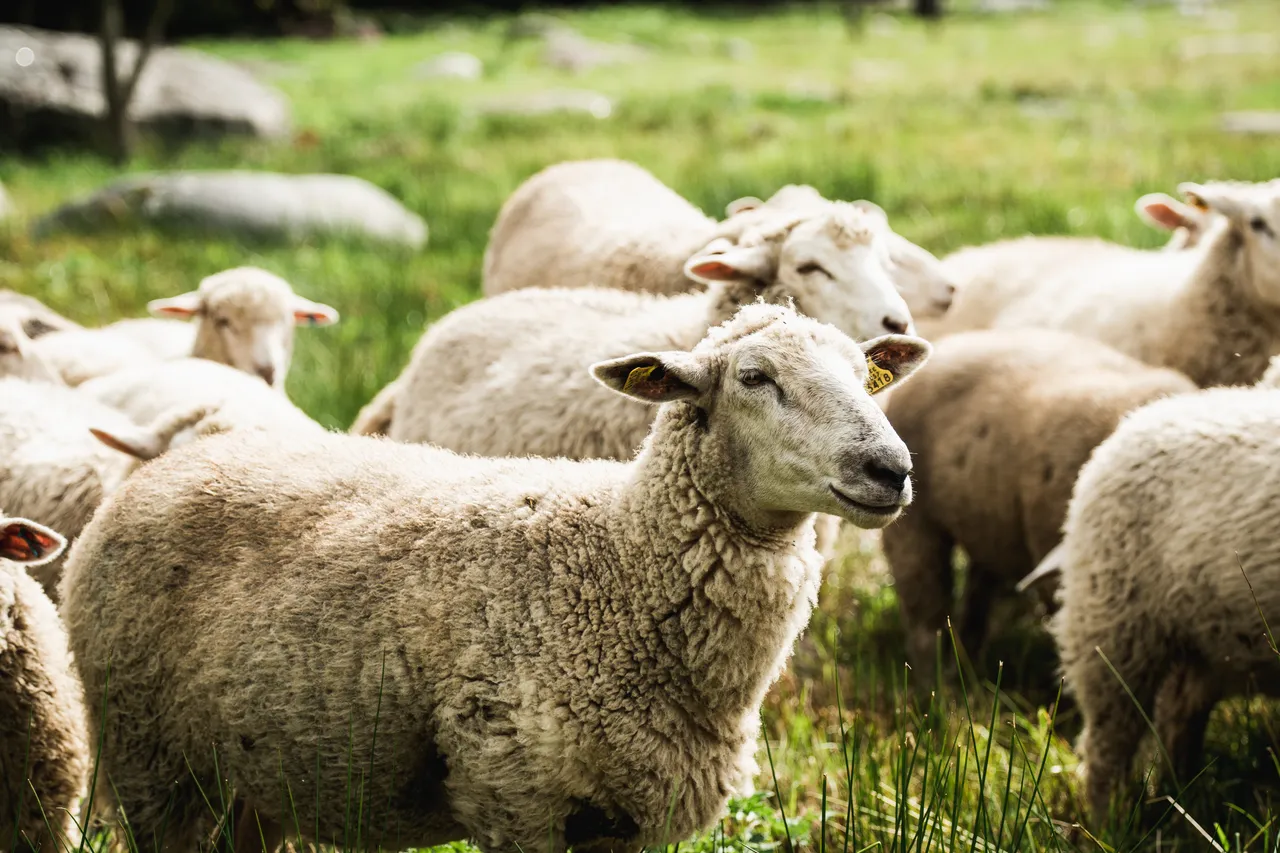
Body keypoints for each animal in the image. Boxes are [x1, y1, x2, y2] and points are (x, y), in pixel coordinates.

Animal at [60, 303, 930, 853]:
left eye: (865, 372)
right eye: (753, 377)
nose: (890, 469)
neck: (621, 567)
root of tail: (171, 462)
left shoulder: (622, 819)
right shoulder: (518, 797)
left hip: (252, 780)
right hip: (148, 762)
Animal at [880, 329, 1195, 685]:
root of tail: (955, 340)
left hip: (989, 518)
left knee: (978, 592)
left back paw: (970, 671)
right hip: (916, 525)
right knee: (925, 611)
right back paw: (933, 685)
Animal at [1049, 377, 1280, 822]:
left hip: (1207, 639)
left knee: (1179, 710)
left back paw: (1180, 795)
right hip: (1115, 628)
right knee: (1108, 746)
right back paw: (1111, 824)